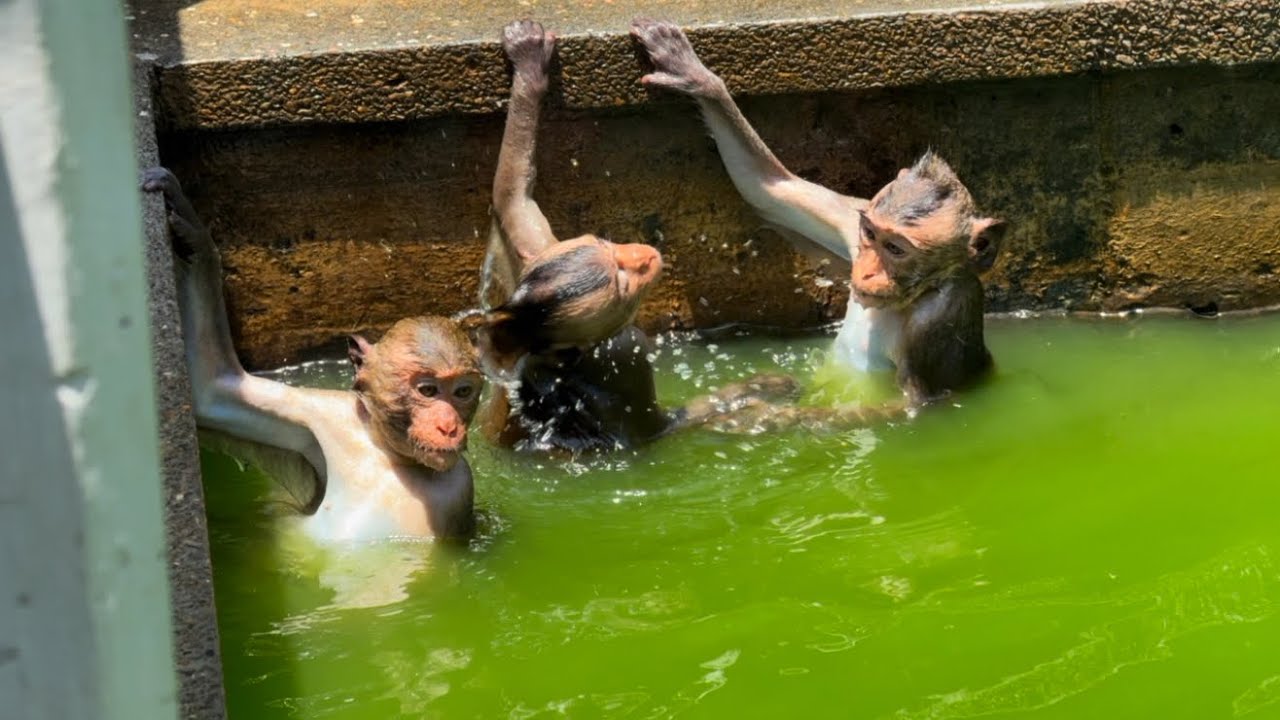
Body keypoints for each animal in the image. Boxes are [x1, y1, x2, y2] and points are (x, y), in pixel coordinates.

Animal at [142, 167, 483, 543]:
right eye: (428, 390)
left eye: (462, 392)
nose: (448, 427)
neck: (386, 455)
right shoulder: (326, 412)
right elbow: (212, 390)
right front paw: (196, 237)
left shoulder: (459, 488)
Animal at [477, 20, 799, 452]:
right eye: (622, 285)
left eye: (606, 246)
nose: (642, 256)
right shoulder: (625, 350)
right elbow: (656, 427)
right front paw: (758, 389)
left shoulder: (538, 251)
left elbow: (511, 193)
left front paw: (528, 70)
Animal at [632, 19, 1006, 417]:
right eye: (870, 235)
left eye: (896, 249)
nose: (867, 272)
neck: (915, 294)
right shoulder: (852, 219)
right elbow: (770, 188)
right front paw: (694, 75)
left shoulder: (941, 317)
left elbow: (918, 403)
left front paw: (774, 417)